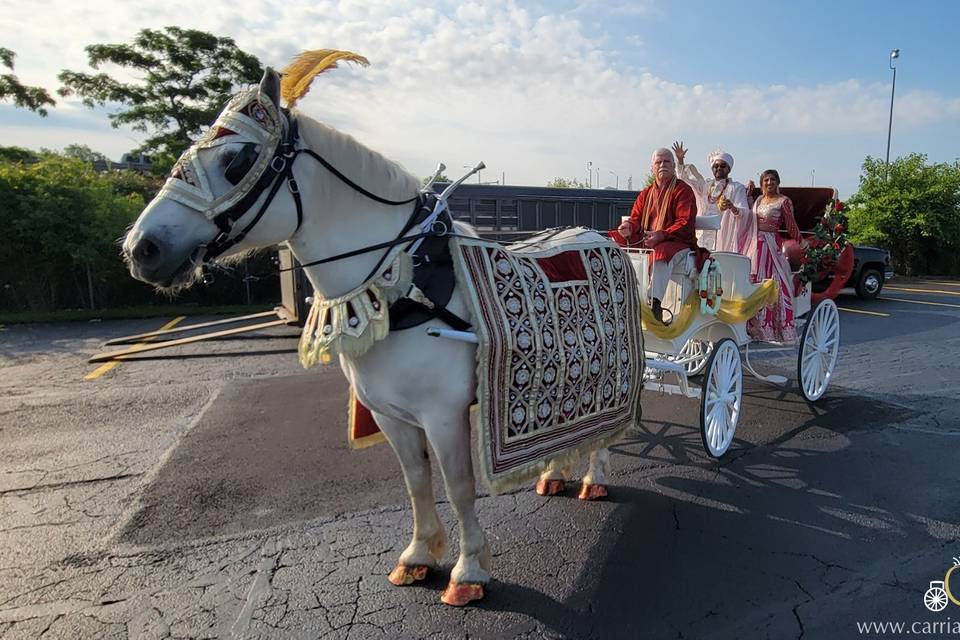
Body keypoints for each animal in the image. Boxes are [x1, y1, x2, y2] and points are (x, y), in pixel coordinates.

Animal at [122, 67, 608, 608]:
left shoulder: (443, 413)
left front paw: (468, 570)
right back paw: (553, 473)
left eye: (237, 160)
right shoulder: (390, 413)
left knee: (603, 432)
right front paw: (419, 555)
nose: (142, 248)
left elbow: (459, 486)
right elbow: (416, 481)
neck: (405, 283)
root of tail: (599, 234)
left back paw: (594, 479)